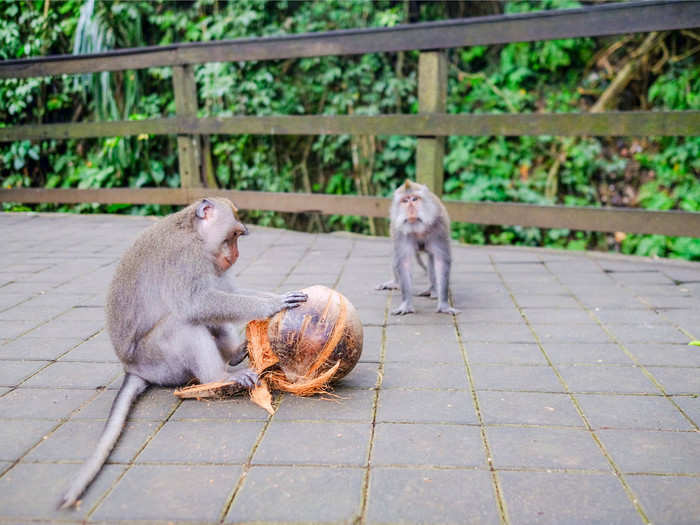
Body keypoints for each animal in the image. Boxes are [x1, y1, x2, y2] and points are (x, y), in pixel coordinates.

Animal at [60, 198, 308, 508]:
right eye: (232, 236)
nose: (236, 255)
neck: (193, 231)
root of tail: (132, 368)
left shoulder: (209, 262)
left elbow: (226, 291)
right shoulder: (186, 258)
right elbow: (195, 303)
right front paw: (271, 304)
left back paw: (233, 353)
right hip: (157, 361)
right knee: (182, 322)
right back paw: (220, 376)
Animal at [378, 179, 460, 316]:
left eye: (415, 199)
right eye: (405, 201)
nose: (410, 208)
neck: (418, 227)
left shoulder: (439, 226)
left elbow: (441, 261)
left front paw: (443, 305)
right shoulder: (399, 232)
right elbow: (404, 262)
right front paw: (406, 305)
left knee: (432, 259)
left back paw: (433, 290)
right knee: (396, 257)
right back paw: (395, 283)